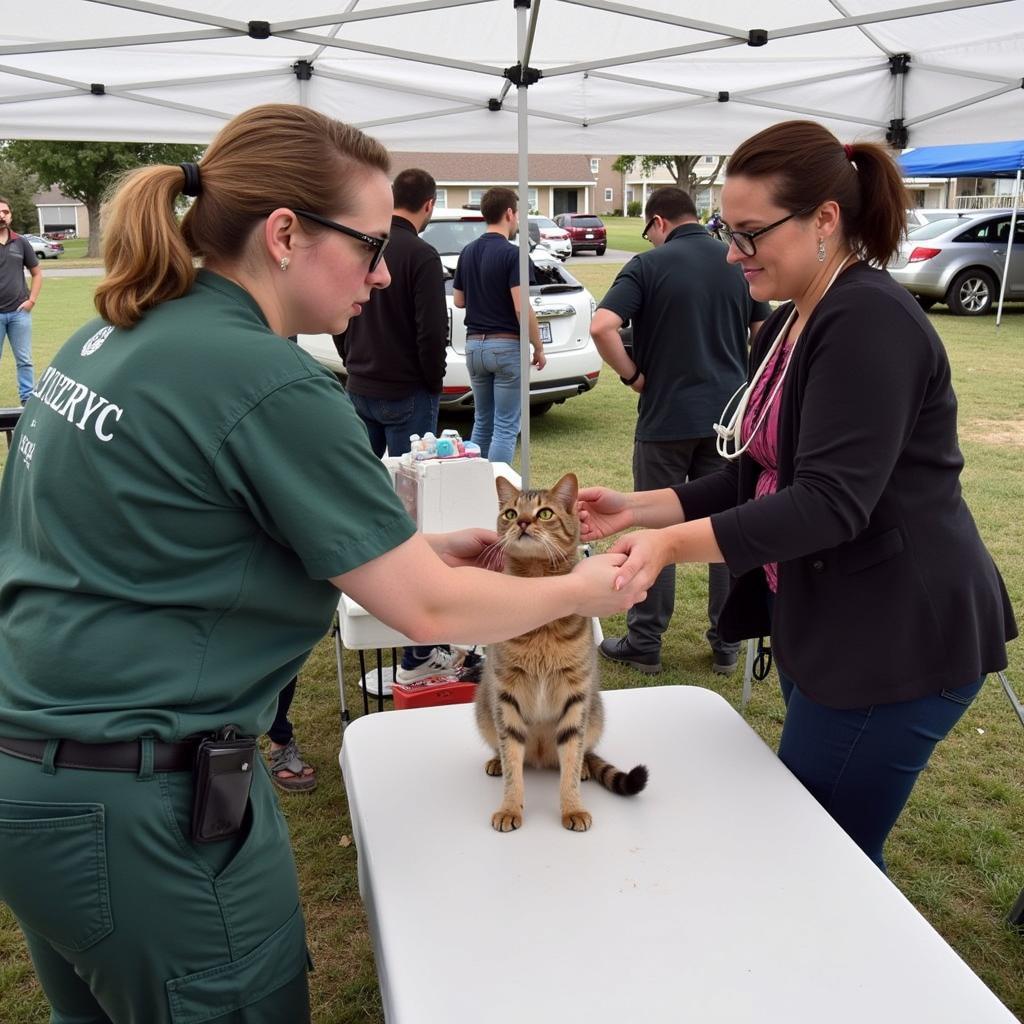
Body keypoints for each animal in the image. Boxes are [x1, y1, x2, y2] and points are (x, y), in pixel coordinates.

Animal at [473, 471, 647, 831]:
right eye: (510, 513)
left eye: (544, 513)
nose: (523, 522)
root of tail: (540, 756)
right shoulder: (506, 695)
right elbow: (512, 764)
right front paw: (510, 807)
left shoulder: (575, 695)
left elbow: (571, 757)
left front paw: (572, 807)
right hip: (484, 710)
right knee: (507, 752)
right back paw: (496, 761)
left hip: (594, 714)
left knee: (581, 753)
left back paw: (584, 768)